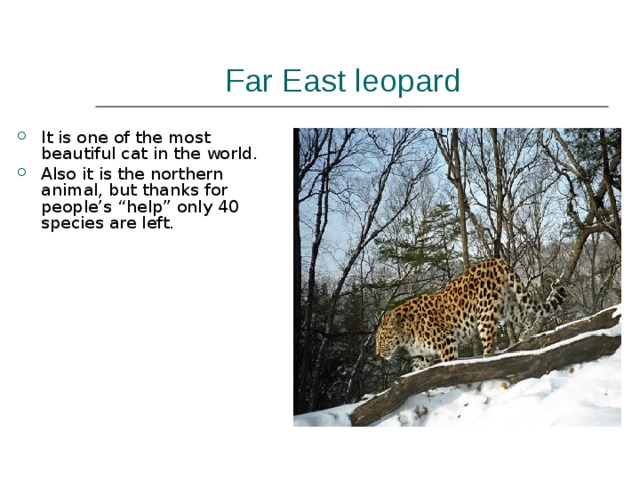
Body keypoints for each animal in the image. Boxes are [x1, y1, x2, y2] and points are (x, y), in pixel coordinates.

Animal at [375, 258, 567, 372]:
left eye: (383, 339)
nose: (377, 354)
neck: (407, 336)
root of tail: (495, 260)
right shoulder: (421, 355)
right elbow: (417, 372)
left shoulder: (447, 342)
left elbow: (448, 362)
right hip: (508, 306)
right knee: (525, 315)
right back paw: (527, 334)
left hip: (484, 314)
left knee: (491, 343)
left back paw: (485, 360)